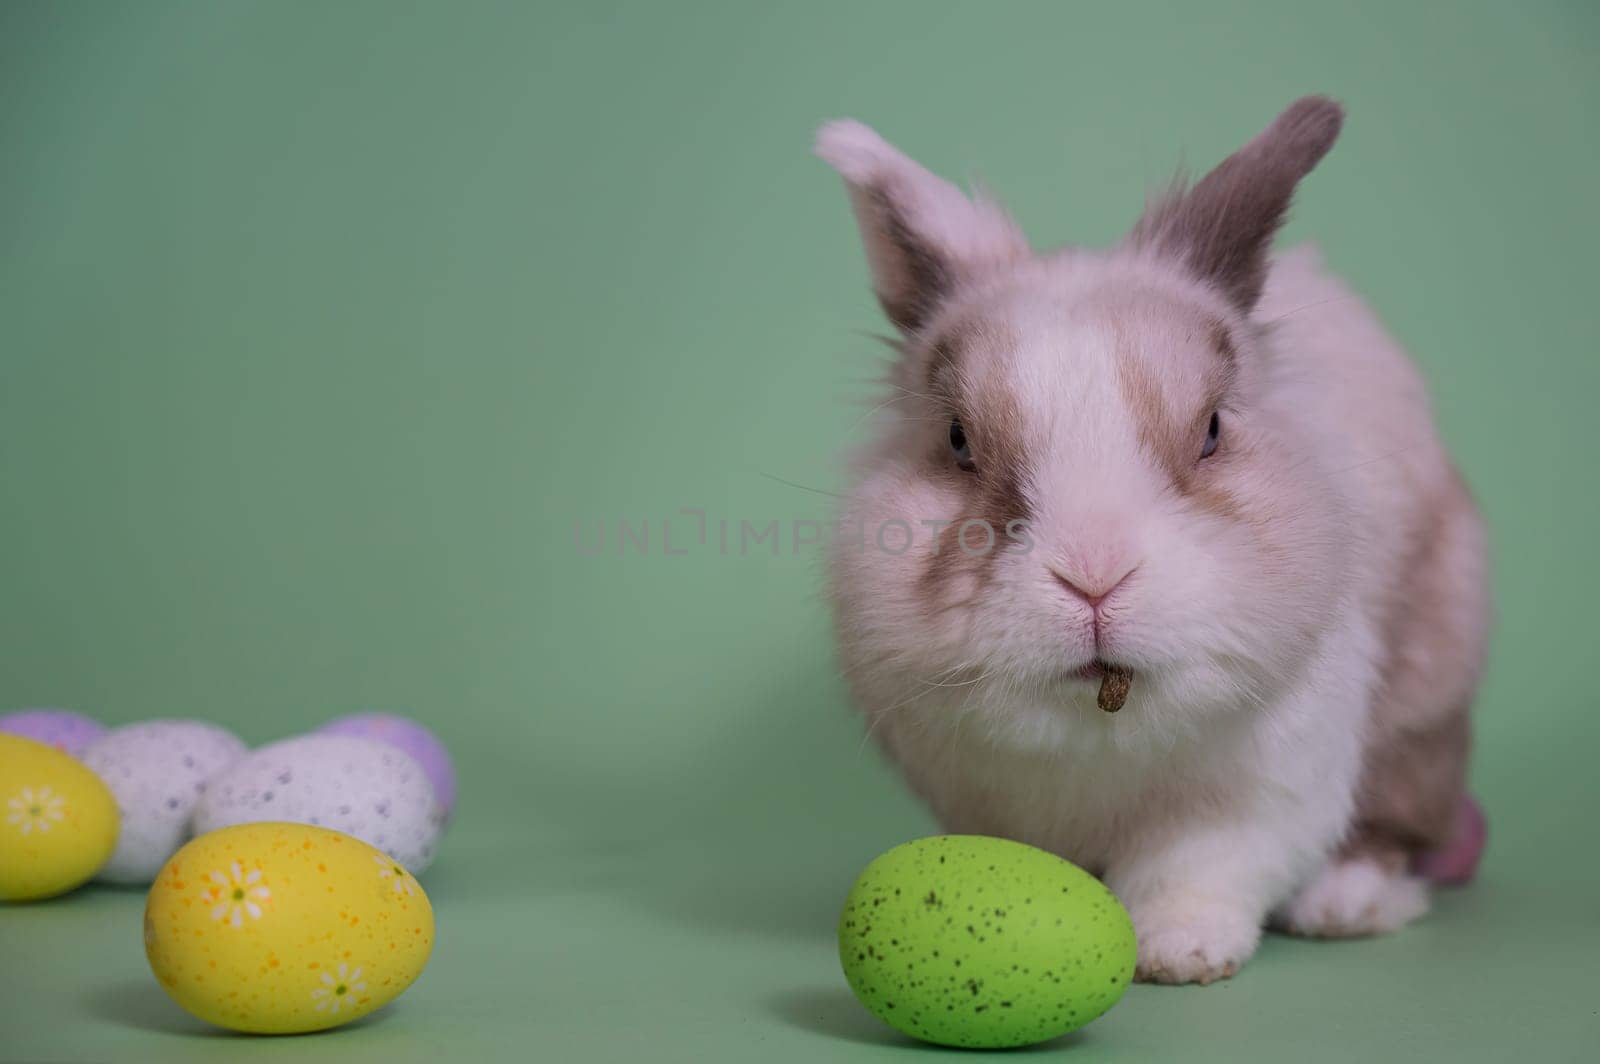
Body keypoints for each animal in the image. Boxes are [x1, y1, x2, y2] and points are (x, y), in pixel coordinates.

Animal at [819, 95, 1491, 985]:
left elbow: (1201, 869)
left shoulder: (1260, 796)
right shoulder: (986, 799)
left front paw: (1182, 953)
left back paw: (1346, 903)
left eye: (1211, 431)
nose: (1094, 575)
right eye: (958, 441)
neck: (1103, 731)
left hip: (1424, 700)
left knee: (1400, 820)